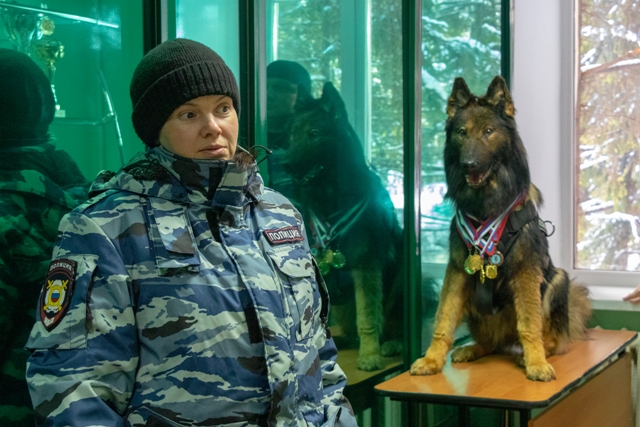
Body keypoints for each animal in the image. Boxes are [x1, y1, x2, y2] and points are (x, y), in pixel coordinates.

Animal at [284, 81, 403, 371]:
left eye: (314, 134)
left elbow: (368, 315)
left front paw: (370, 354)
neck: (331, 199)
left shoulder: (366, 265)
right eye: (293, 135)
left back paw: (391, 343)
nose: (286, 163)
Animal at [410, 76, 592, 381]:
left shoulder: (526, 271)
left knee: (553, 339)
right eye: (462, 132)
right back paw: (473, 348)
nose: (469, 164)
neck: (487, 204)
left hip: (558, 281)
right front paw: (432, 360)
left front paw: (536, 363)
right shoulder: (458, 270)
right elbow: (443, 317)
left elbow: (529, 324)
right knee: (490, 343)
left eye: (488, 132)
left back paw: (532, 354)